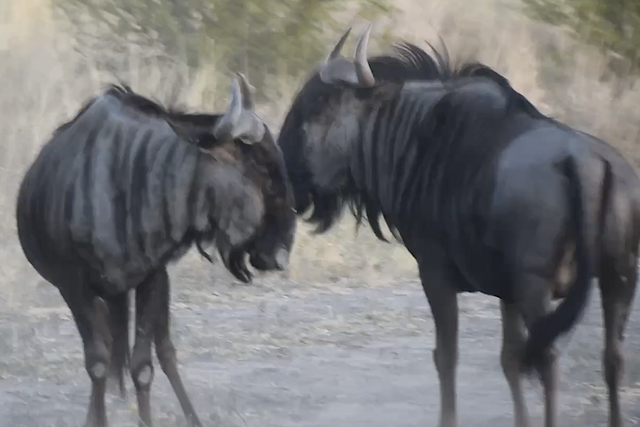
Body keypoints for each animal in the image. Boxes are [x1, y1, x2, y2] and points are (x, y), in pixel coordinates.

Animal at [15, 73, 297, 427]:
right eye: (261, 168)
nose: (282, 252)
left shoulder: (150, 279)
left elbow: (143, 366)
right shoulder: (73, 287)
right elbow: (97, 363)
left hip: (146, 288)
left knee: (165, 351)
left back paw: (193, 418)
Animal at [276, 23, 640, 427]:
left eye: (320, 108)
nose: (285, 175)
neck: (415, 134)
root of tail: (582, 161)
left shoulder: (435, 274)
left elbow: (446, 357)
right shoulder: (507, 293)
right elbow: (510, 359)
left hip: (539, 287)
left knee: (549, 358)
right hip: (620, 278)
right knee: (612, 358)